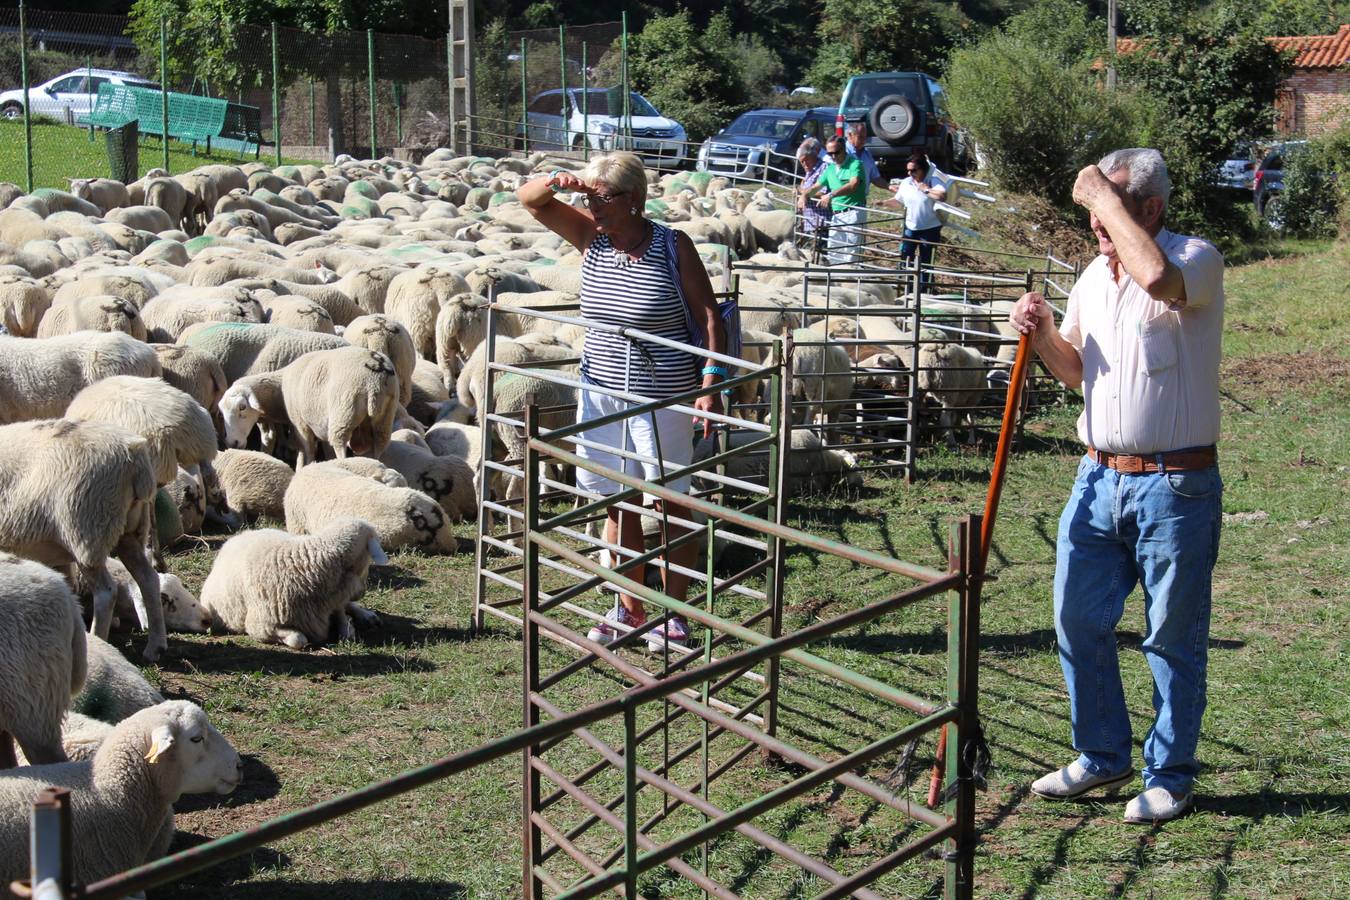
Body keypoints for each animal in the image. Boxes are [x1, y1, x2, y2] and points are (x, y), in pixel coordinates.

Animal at [199, 518, 391, 650]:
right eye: (367, 561)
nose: (362, 592)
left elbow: (342, 616)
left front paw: (351, 623)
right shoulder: (259, 626)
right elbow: (299, 640)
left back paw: (364, 617)